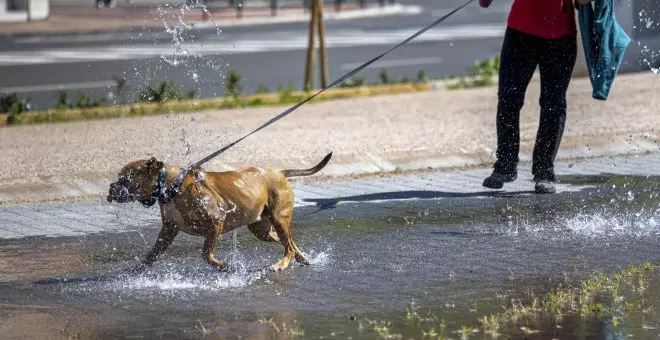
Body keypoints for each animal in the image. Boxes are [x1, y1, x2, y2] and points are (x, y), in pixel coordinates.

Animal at [109, 153, 336, 272]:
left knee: (287, 246)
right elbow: (152, 254)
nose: (111, 187)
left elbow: (206, 254)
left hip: (279, 219)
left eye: (125, 179)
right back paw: (302, 258)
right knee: (289, 242)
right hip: (262, 229)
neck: (173, 185)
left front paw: (225, 266)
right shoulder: (168, 230)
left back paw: (281, 264)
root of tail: (279, 172)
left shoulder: (215, 223)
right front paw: (138, 270)